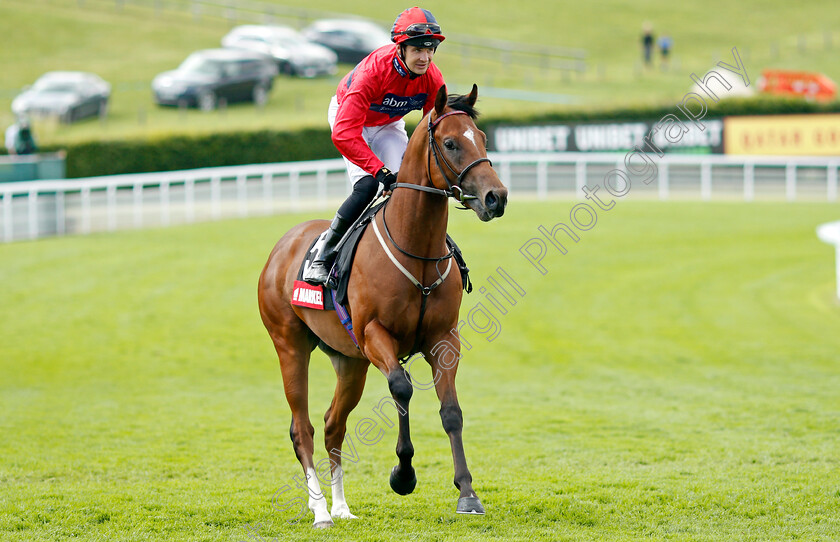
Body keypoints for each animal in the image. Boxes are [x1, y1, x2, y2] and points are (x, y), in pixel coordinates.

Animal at [258, 85, 506, 532]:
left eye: (481, 138)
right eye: (450, 143)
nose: (497, 197)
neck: (417, 248)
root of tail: (282, 246)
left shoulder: (444, 339)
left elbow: (451, 412)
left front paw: (467, 494)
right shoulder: (376, 335)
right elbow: (401, 387)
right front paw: (403, 476)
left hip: (349, 361)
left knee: (332, 425)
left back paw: (341, 506)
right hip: (289, 345)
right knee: (302, 428)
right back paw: (320, 511)